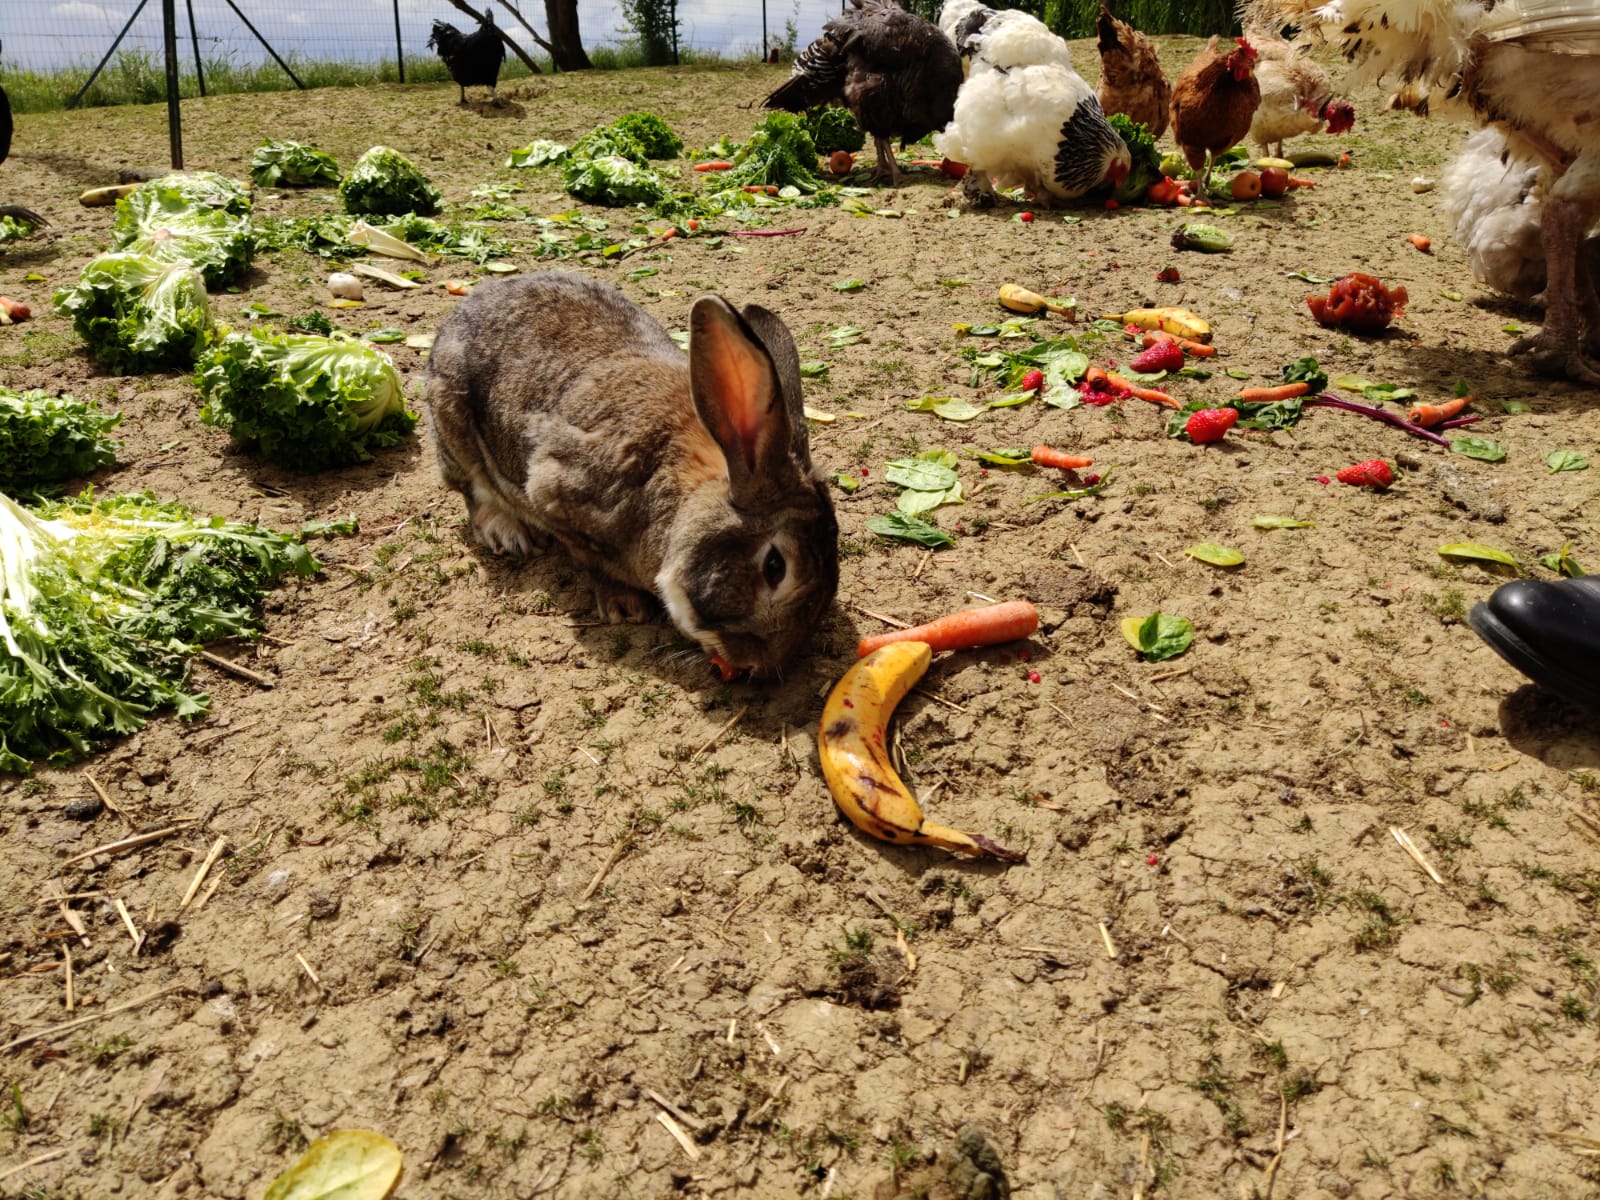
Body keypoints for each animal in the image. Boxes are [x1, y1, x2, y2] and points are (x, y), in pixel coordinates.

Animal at [425, 272, 851, 678]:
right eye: (775, 567)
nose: (760, 666)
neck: (679, 500)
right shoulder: (552, 494)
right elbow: (592, 562)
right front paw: (623, 605)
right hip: (453, 426)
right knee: (473, 492)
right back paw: (508, 534)